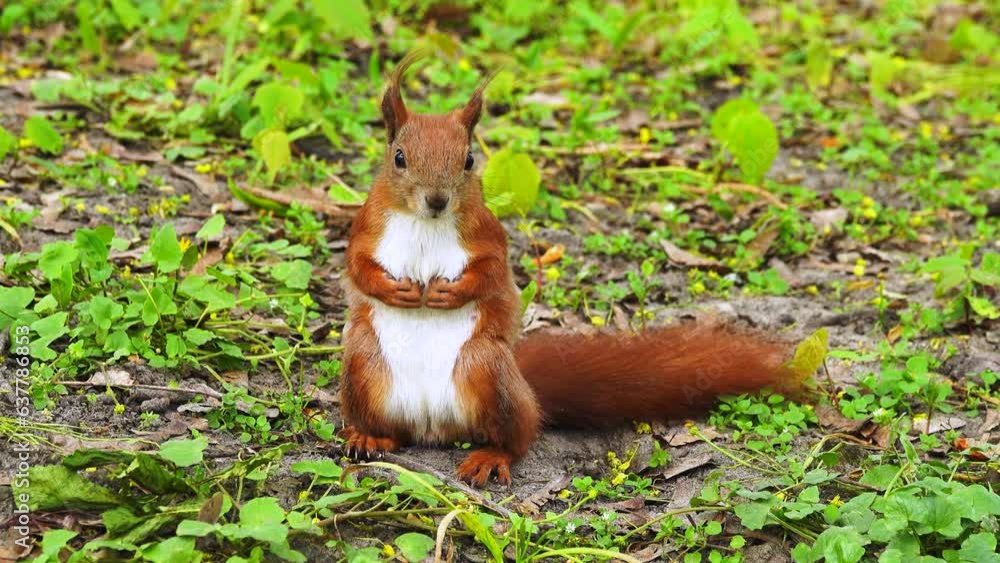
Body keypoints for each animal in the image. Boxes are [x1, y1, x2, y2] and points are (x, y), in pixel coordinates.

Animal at [340, 55, 800, 492]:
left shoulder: (488, 236)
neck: (426, 223)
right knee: (392, 429)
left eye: (469, 160)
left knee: (518, 438)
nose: (437, 200)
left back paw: (490, 457)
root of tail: (433, 429)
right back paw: (369, 438)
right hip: (363, 366)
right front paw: (393, 291)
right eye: (399, 158)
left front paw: (448, 294)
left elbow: (491, 274)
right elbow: (358, 268)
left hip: (486, 368)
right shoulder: (366, 229)